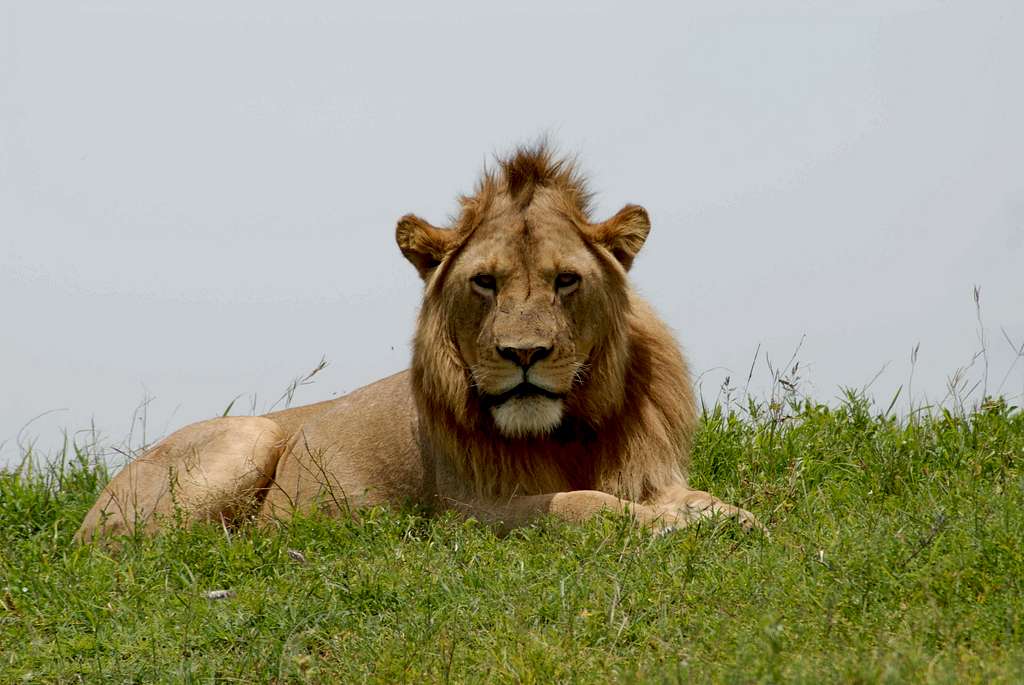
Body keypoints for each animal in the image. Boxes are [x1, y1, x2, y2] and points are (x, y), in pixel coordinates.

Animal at [77, 143, 761, 540]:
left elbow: (699, 498)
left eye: (566, 280)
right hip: (250, 436)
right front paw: (665, 525)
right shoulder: (465, 512)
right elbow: (584, 504)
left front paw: (727, 518)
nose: (524, 355)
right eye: (485, 282)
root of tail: (88, 511)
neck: (569, 431)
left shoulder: (648, 470)